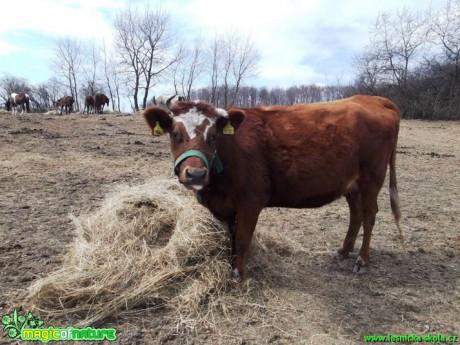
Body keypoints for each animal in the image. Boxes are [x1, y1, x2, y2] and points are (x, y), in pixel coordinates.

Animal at [143, 95, 402, 280]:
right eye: (175, 134)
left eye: (214, 136)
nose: (196, 173)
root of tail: (373, 99)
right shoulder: (228, 207)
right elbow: (231, 238)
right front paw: (231, 265)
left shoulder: (251, 202)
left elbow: (242, 239)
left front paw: (238, 276)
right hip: (352, 184)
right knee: (356, 215)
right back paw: (344, 252)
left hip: (372, 178)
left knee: (369, 215)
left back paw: (362, 261)